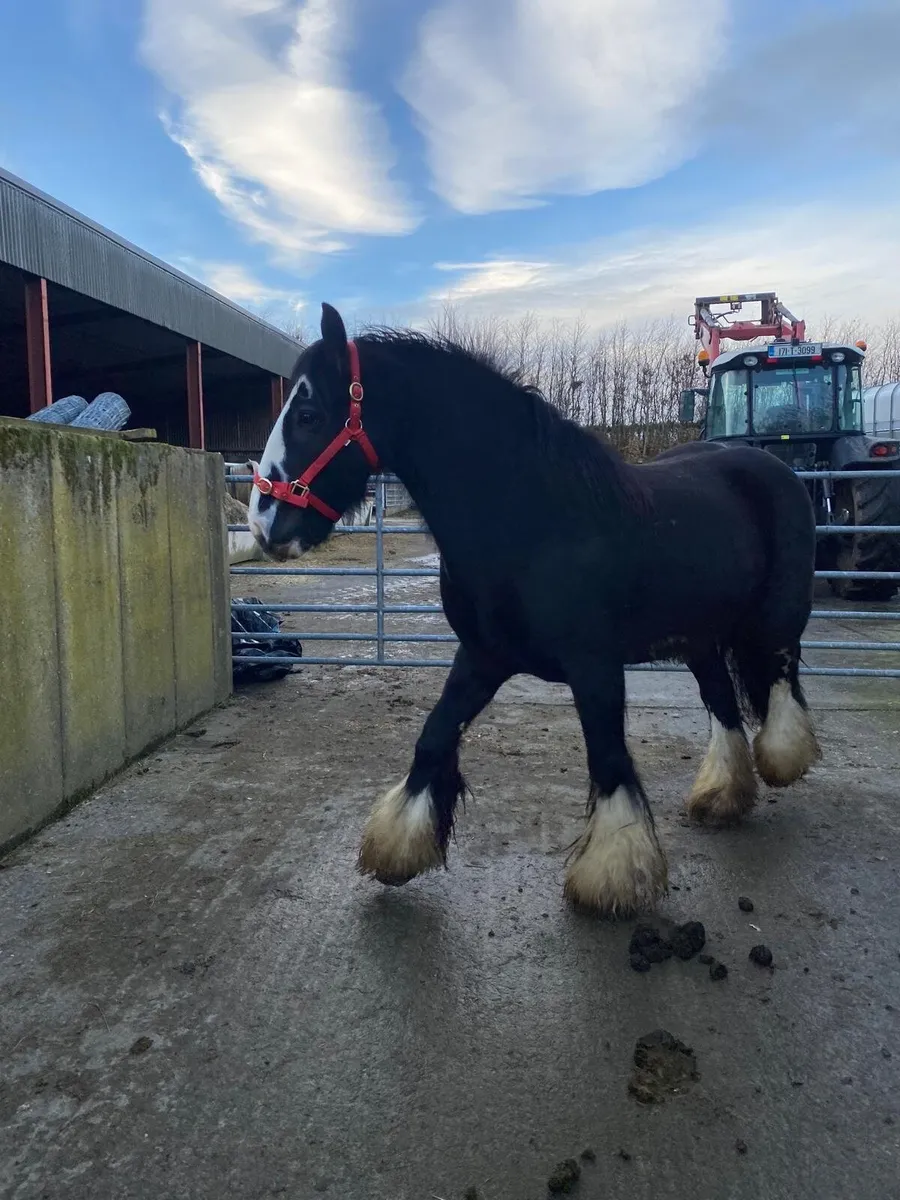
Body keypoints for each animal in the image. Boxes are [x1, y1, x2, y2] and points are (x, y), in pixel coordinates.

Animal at [249, 303, 821, 917]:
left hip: (777, 619)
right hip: (698, 638)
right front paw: (398, 847)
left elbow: (608, 760)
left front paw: (615, 879)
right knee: (723, 706)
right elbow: (433, 737)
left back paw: (781, 761)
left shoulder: (595, 668)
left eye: (308, 414)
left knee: (780, 681)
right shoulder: (482, 657)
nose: (262, 524)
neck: (528, 519)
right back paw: (723, 797)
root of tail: (769, 465)